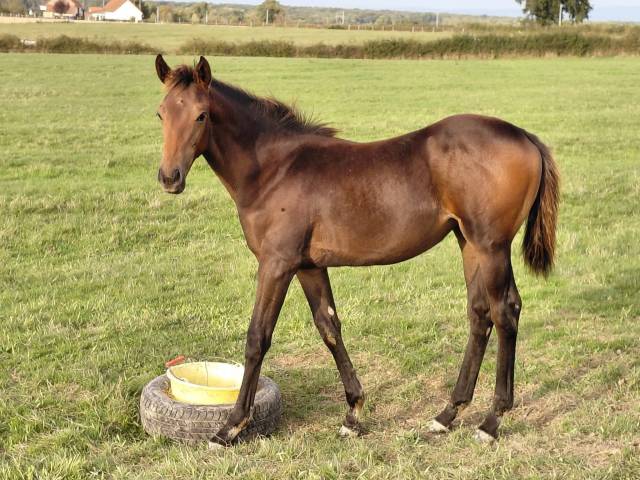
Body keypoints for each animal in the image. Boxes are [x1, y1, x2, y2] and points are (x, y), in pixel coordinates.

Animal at [153, 55, 559, 446]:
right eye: (161, 113)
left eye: (201, 115)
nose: (170, 178)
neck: (274, 170)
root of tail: (524, 136)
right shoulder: (308, 266)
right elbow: (329, 327)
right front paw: (353, 414)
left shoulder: (276, 264)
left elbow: (258, 338)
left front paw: (230, 427)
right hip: (468, 243)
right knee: (480, 314)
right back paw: (447, 415)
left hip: (491, 246)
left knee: (505, 312)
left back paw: (492, 421)